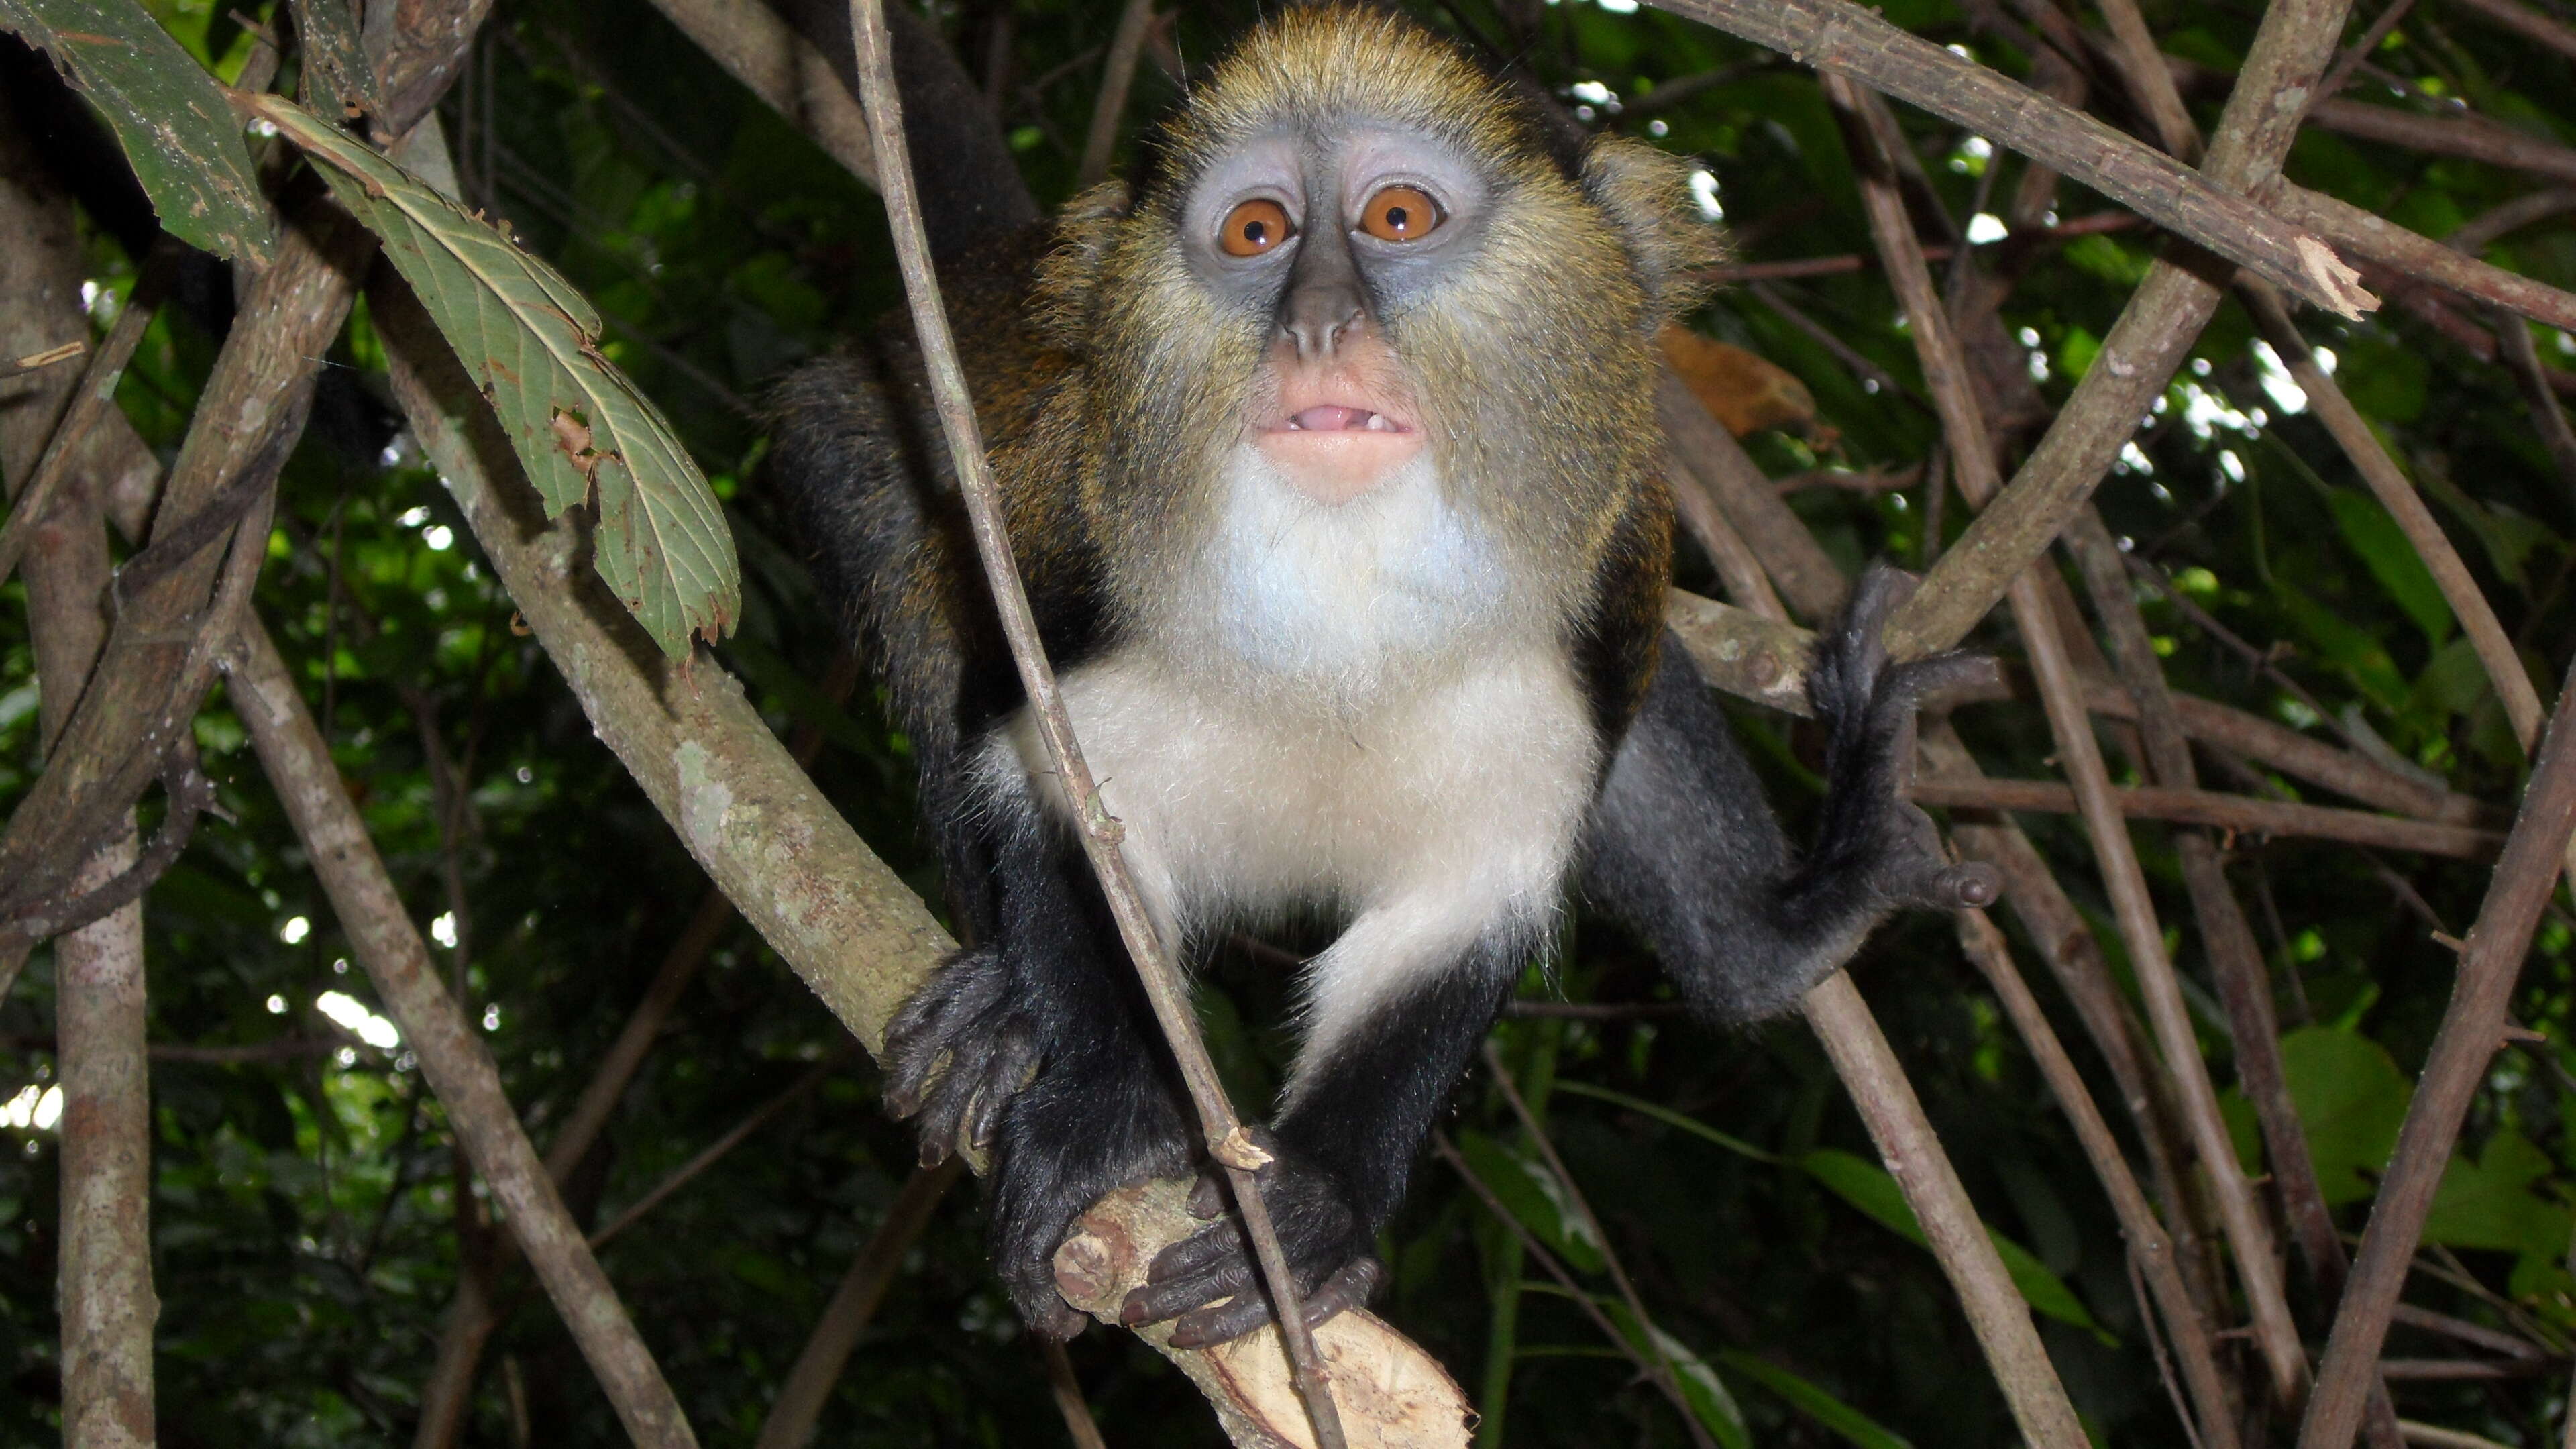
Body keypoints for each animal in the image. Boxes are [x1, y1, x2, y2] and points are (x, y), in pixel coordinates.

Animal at [762, 5, 1988, 1350]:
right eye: (1258, 233)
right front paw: (1098, 1106)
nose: (1315, 328)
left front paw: (1324, 1201)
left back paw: (1780, 931)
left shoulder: (1594, 599)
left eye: (1397, 217)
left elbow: (1460, 906)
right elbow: (1056, 797)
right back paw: (999, 1006)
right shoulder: (1073, 564)